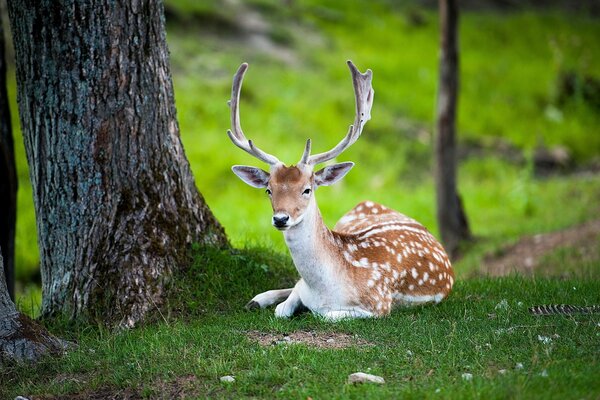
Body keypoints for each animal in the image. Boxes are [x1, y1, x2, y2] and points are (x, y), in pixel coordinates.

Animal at [227, 61, 452, 320]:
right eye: (269, 190)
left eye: (307, 190)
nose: (281, 218)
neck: (324, 289)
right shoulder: (303, 288)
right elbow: (284, 306)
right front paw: (267, 301)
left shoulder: (379, 304)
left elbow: (323, 314)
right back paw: (257, 299)